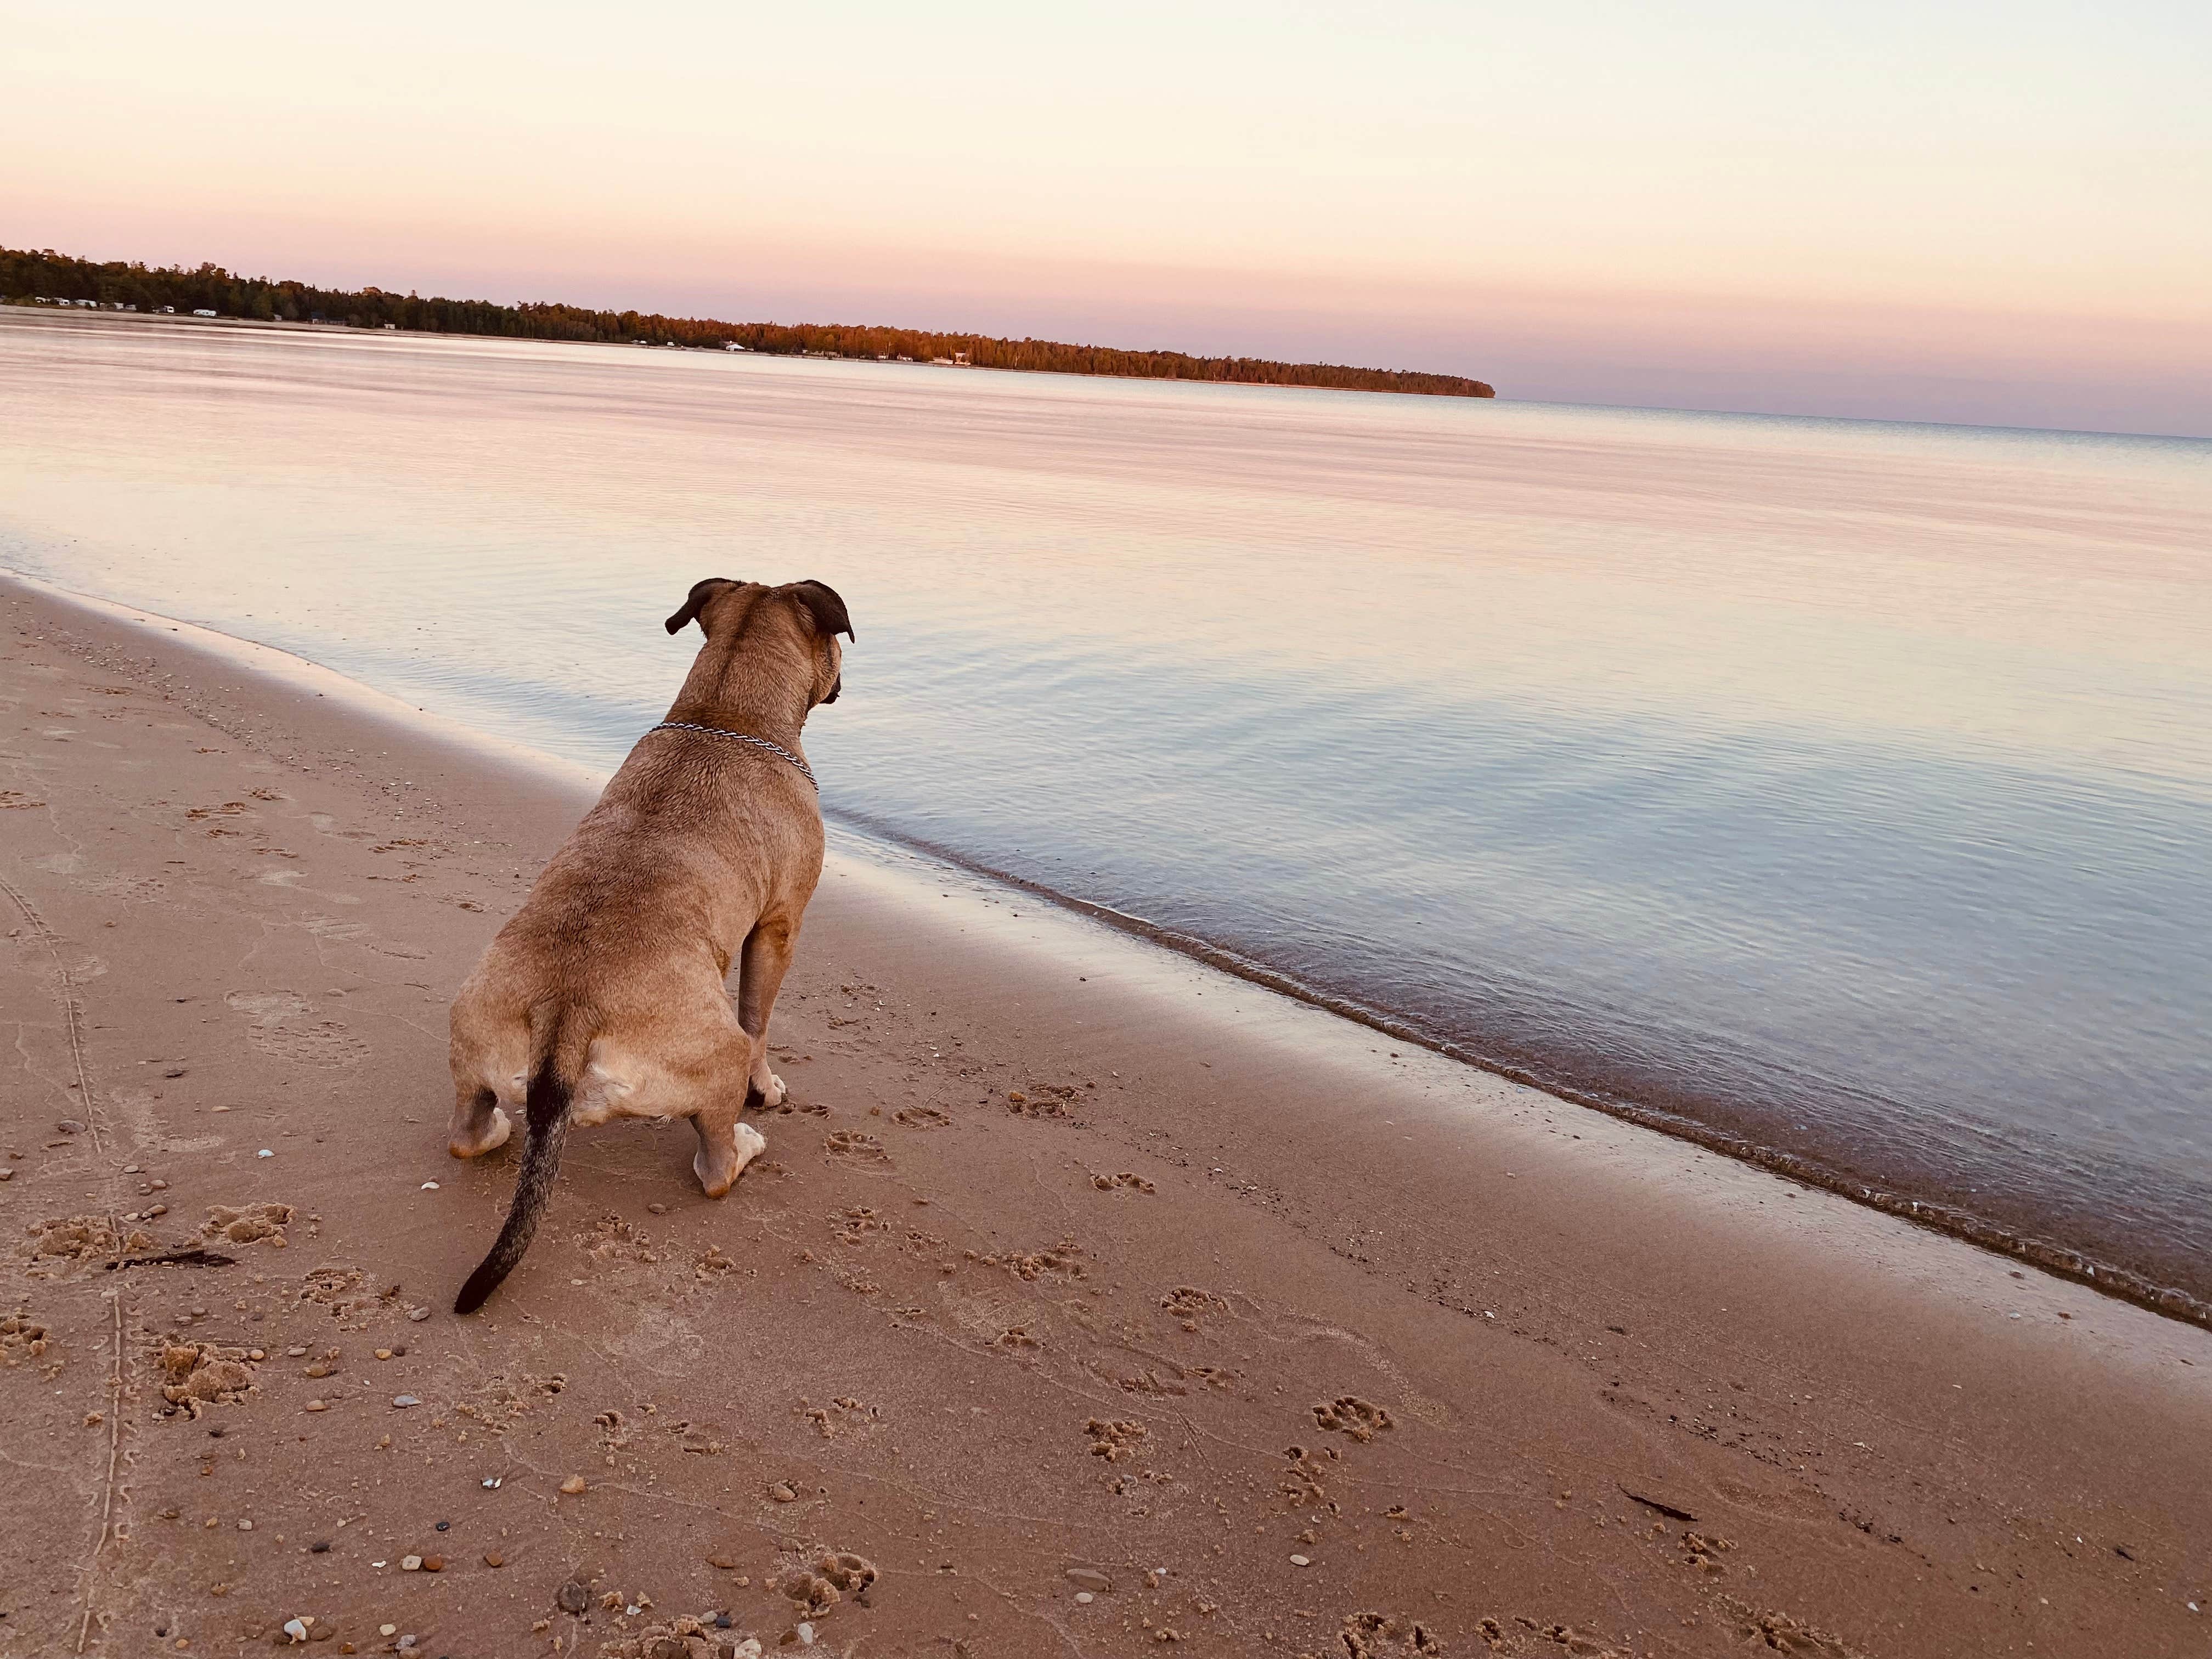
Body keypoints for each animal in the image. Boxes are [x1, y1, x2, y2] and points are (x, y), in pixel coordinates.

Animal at [444, 579, 849, 1318]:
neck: (721, 709)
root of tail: (568, 1018)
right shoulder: (778, 927)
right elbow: (759, 1017)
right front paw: (767, 1088)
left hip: (472, 1035)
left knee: (466, 1132)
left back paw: (492, 1133)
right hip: (714, 1064)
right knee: (714, 1165)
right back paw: (742, 1144)